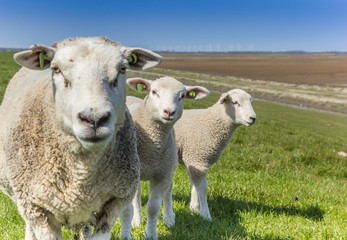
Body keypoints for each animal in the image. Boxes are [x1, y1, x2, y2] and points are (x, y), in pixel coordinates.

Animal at [0, 36, 163, 239]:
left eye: (123, 69)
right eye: (56, 69)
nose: (94, 119)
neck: (81, 175)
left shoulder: (115, 202)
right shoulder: (37, 209)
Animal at [124, 77, 209, 240]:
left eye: (182, 96)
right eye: (154, 92)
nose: (169, 111)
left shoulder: (162, 175)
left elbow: (153, 208)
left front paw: (151, 234)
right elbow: (133, 201)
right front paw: (135, 222)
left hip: (169, 167)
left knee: (168, 192)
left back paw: (169, 219)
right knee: (137, 195)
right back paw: (137, 220)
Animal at [175, 89, 256, 221]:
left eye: (251, 102)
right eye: (235, 102)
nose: (253, 118)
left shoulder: (194, 160)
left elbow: (195, 185)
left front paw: (194, 209)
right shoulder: (198, 160)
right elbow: (202, 188)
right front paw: (205, 215)